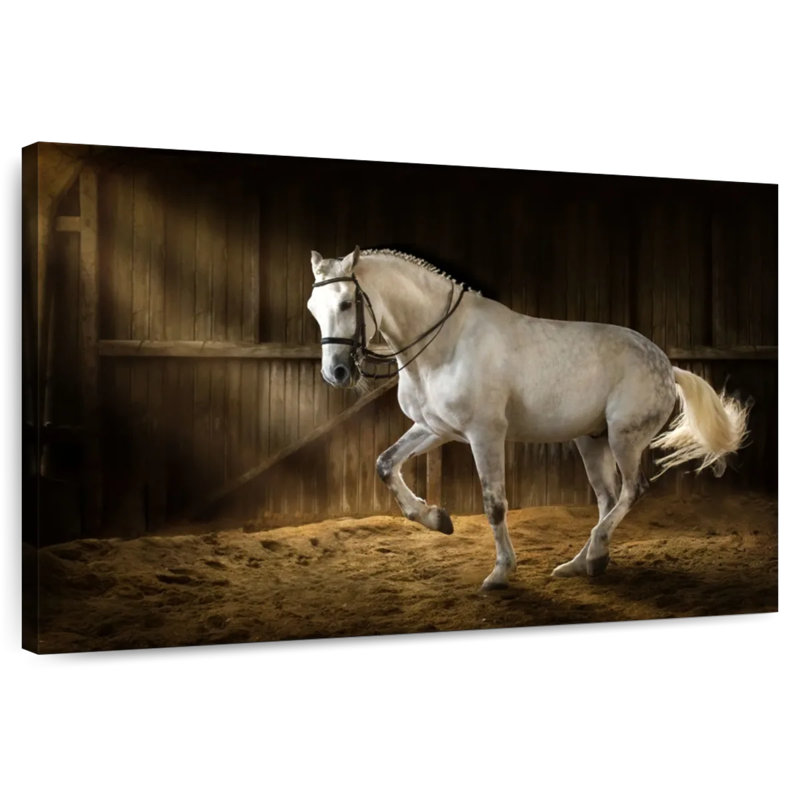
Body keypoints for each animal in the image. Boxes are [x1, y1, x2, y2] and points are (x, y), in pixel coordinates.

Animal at [306, 246, 750, 590]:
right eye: (313, 308)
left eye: (345, 303)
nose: (336, 373)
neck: (445, 344)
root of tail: (667, 366)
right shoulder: (436, 429)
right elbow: (385, 464)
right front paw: (438, 520)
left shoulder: (485, 435)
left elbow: (494, 504)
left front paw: (500, 574)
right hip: (592, 440)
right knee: (607, 498)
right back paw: (579, 564)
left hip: (625, 437)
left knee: (631, 490)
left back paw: (595, 556)